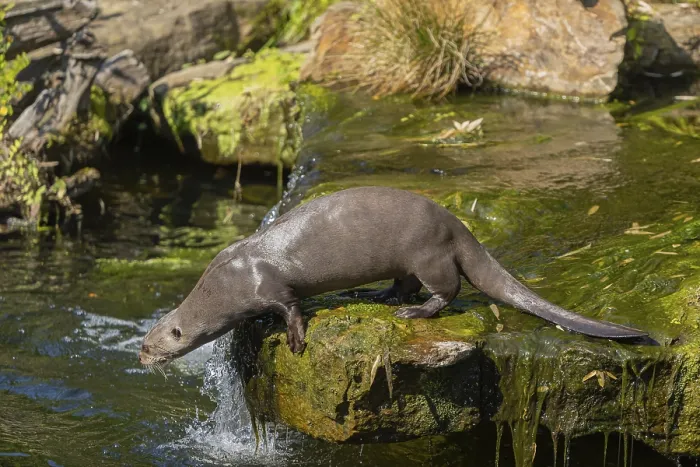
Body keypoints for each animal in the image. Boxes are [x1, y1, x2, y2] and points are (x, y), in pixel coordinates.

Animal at [139, 186, 647, 368]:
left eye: (148, 345)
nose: (141, 360)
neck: (224, 284)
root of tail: (458, 225)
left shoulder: (270, 285)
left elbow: (292, 308)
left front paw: (296, 342)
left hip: (428, 252)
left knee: (447, 289)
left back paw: (414, 312)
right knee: (411, 283)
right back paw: (384, 295)